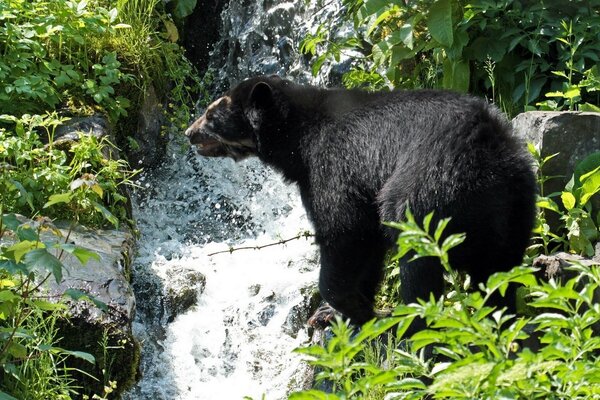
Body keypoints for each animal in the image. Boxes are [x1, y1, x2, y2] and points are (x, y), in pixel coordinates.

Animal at [185, 76, 536, 326]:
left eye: (211, 114)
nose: (189, 133)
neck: (297, 139)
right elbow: (368, 248)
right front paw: (338, 312)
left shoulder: (335, 165)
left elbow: (344, 230)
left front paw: (348, 308)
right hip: (516, 207)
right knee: (497, 273)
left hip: (423, 193)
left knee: (418, 262)